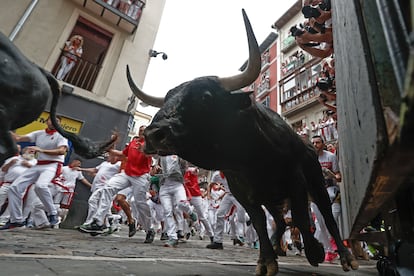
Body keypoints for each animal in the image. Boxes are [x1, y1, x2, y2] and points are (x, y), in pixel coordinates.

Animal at [128, 9, 358, 276]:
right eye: (166, 100)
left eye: (205, 97)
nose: (153, 133)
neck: (249, 158)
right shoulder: (245, 194)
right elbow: (258, 223)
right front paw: (266, 261)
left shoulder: (296, 181)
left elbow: (302, 217)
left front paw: (315, 251)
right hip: (273, 200)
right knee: (280, 222)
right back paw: (275, 247)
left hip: (317, 184)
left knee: (325, 215)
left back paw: (345, 257)